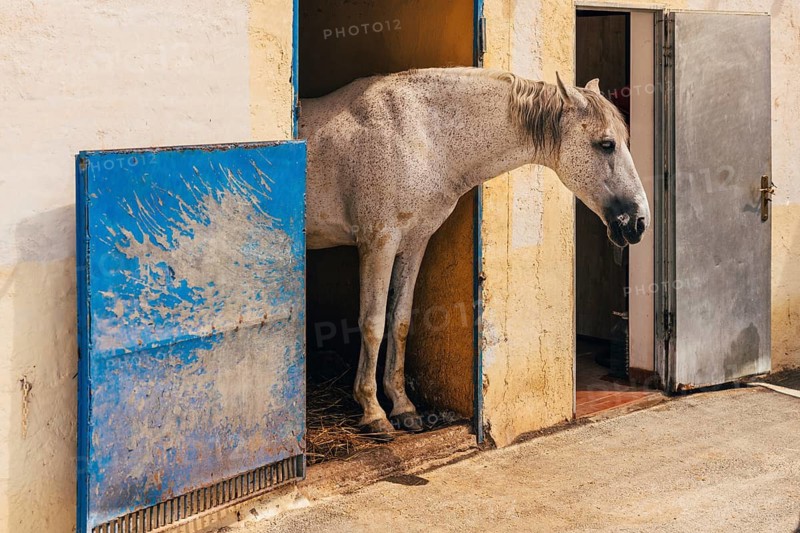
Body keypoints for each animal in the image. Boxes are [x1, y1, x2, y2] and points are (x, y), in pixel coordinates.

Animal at [299, 67, 649, 440]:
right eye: (606, 144)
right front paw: (373, 411)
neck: (419, 135)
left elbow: (400, 321)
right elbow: (373, 324)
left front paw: (403, 407)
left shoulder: (414, 241)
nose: (639, 221)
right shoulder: (378, 242)